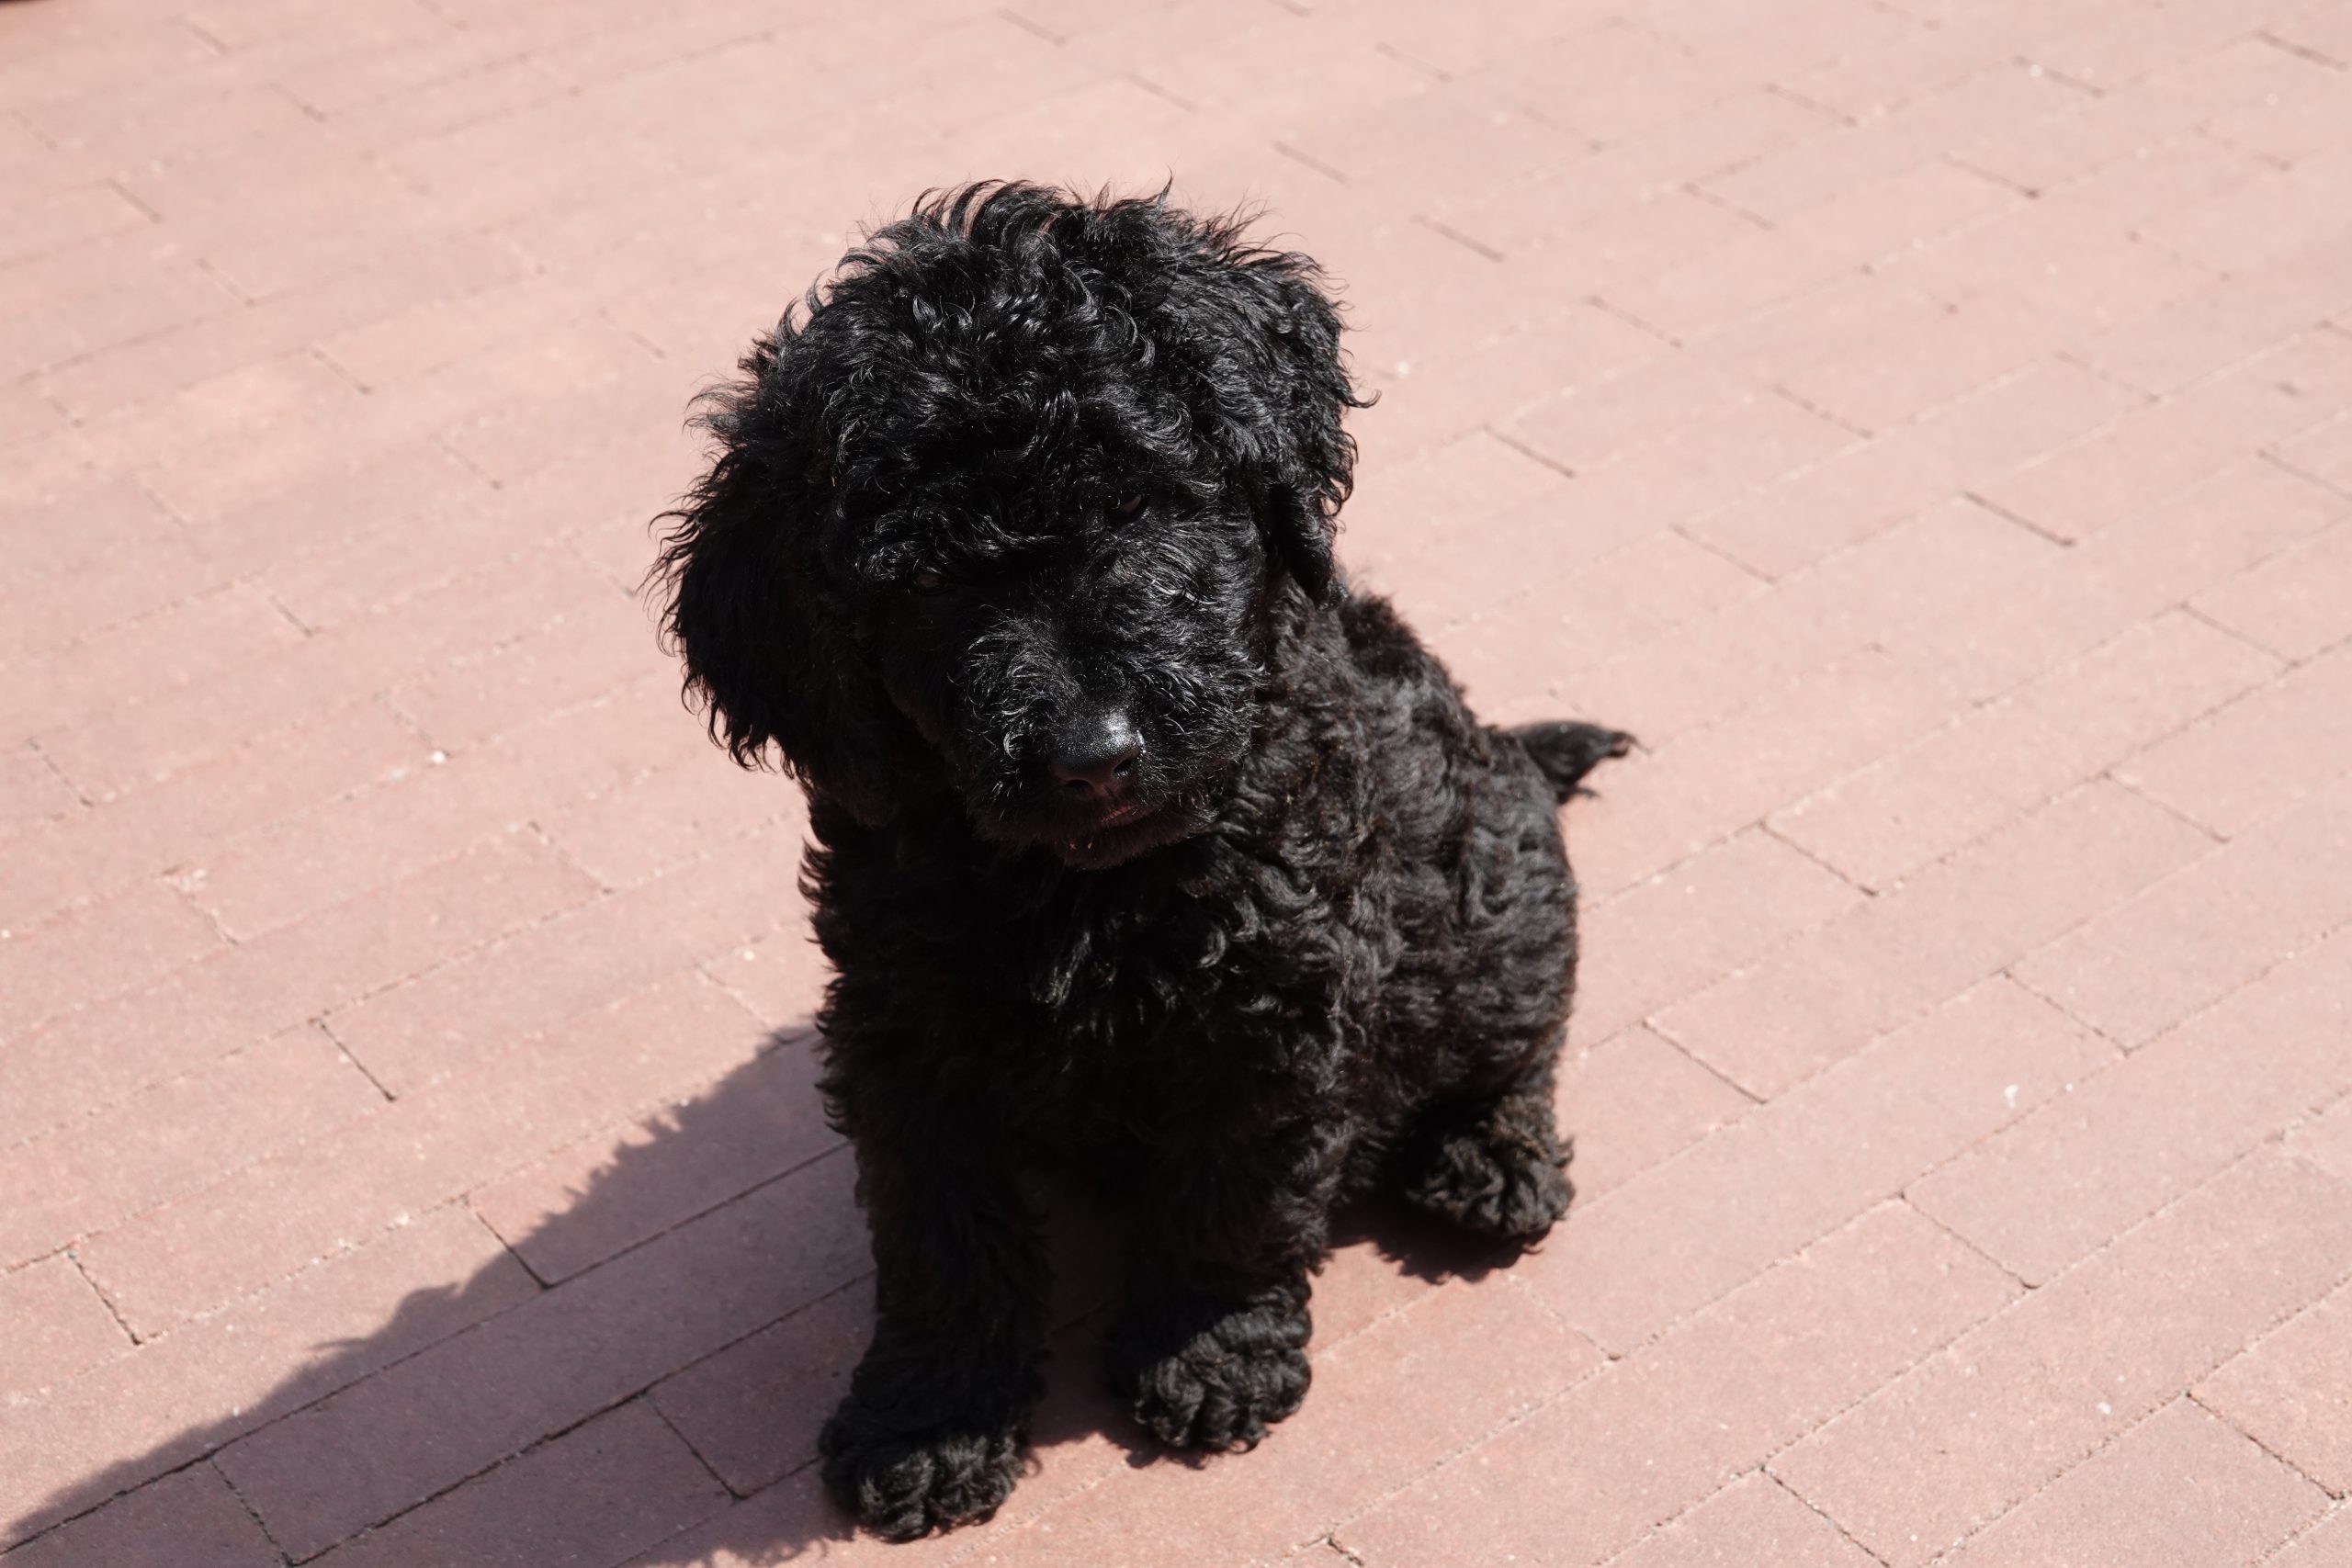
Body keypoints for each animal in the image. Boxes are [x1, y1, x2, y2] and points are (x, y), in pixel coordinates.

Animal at [653, 182, 1630, 1541]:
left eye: (1136, 505)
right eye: (925, 582)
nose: (1092, 754)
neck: (1089, 889)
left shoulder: (1279, 1004)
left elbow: (1236, 1192)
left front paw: (1210, 1356)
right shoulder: (904, 1024)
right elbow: (938, 1231)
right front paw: (929, 1419)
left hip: (1499, 887)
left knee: (1526, 1026)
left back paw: (1491, 1159)